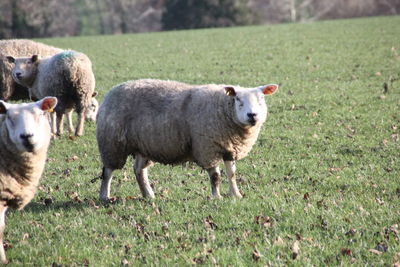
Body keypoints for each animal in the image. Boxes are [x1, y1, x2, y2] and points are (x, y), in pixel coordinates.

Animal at [96, 79, 278, 201]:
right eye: (238, 100)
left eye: (261, 99)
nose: (252, 115)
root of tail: (112, 91)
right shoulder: (207, 148)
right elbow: (215, 176)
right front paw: (216, 197)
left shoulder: (229, 148)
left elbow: (232, 174)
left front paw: (236, 194)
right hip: (112, 143)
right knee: (108, 172)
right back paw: (104, 196)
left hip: (143, 146)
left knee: (139, 171)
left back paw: (148, 195)